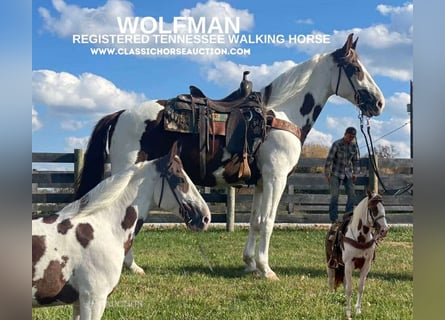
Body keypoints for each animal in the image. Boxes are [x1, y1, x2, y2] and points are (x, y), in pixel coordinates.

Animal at [74, 31, 384, 278]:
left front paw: (250, 263)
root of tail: (120, 115)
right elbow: (268, 221)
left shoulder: (261, 182)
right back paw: (129, 266)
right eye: (355, 68)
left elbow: (256, 222)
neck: (282, 116)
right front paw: (266, 269)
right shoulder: (276, 178)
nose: (379, 102)